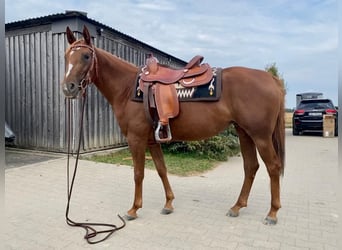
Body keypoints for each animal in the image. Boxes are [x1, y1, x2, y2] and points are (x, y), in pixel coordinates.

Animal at [62, 26, 286, 226]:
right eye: (66, 56)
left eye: (86, 56)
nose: (68, 87)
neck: (127, 89)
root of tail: (272, 79)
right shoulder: (152, 141)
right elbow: (161, 169)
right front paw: (168, 204)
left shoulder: (136, 139)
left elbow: (138, 173)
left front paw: (134, 209)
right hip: (244, 133)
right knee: (251, 167)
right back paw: (237, 207)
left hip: (260, 136)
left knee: (273, 167)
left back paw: (272, 213)